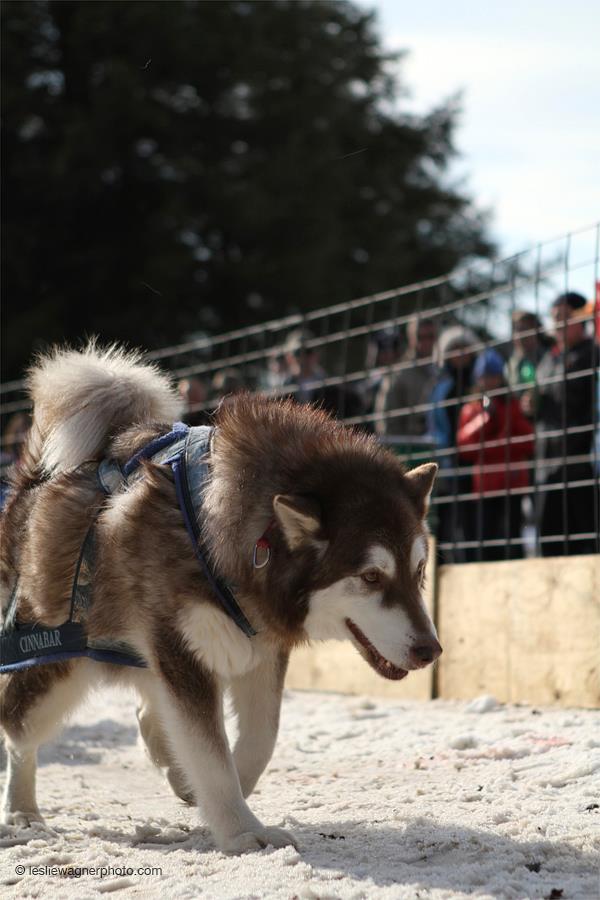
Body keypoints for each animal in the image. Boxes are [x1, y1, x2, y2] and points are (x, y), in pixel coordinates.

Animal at [0, 342, 440, 852]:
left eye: (418, 570)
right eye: (370, 576)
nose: (431, 650)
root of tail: (32, 480)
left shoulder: (260, 645)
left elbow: (259, 739)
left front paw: (204, 787)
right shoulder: (183, 648)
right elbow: (211, 755)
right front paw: (242, 830)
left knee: (147, 703)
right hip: (56, 662)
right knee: (18, 732)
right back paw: (23, 810)